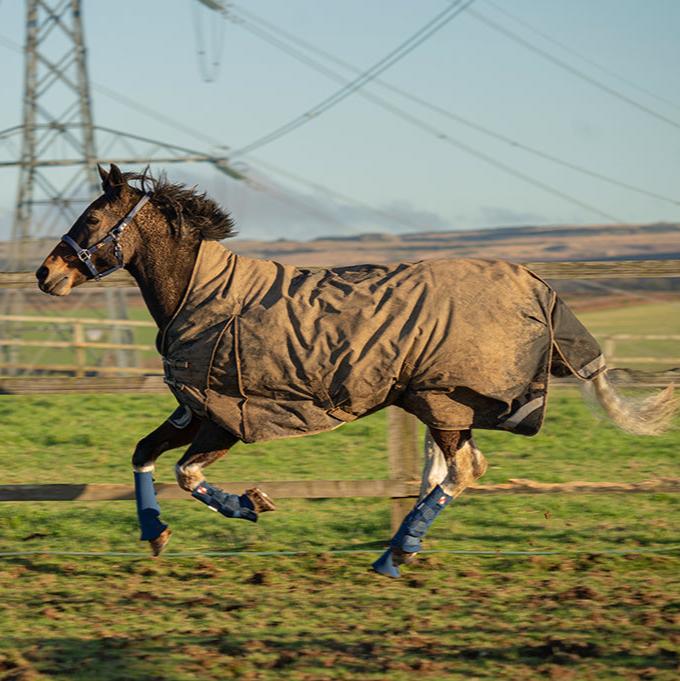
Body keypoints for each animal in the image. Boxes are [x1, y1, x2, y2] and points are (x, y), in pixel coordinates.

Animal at [35, 163, 676, 572]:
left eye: (91, 220)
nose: (46, 274)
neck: (205, 295)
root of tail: (540, 287)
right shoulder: (193, 409)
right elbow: (143, 453)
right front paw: (155, 535)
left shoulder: (225, 419)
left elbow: (187, 474)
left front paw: (252, 503)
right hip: (435, 401)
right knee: (443, 471)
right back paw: (394, 549)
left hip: (445, 399)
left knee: (464, 469)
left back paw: (398, 554)